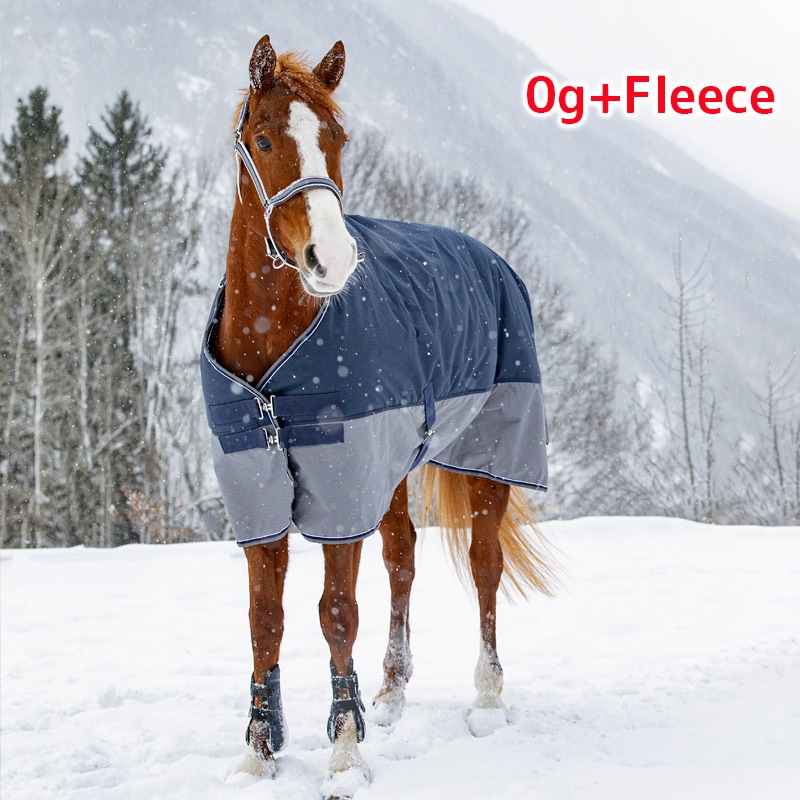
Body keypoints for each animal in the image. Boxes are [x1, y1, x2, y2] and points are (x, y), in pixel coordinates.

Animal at [200, 35, 554, 794]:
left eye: (336, 138)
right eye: (263, 138)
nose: (331, 259)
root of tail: (491, 257)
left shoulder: (340, 495)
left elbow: (336, 615)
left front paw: (343, 753)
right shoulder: (259, 494)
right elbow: (265, 619)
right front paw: (260, 750)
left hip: (487, 457)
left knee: (484, 567)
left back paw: (487, 698)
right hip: (388, 468)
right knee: (403, 558)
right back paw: (391, 693)